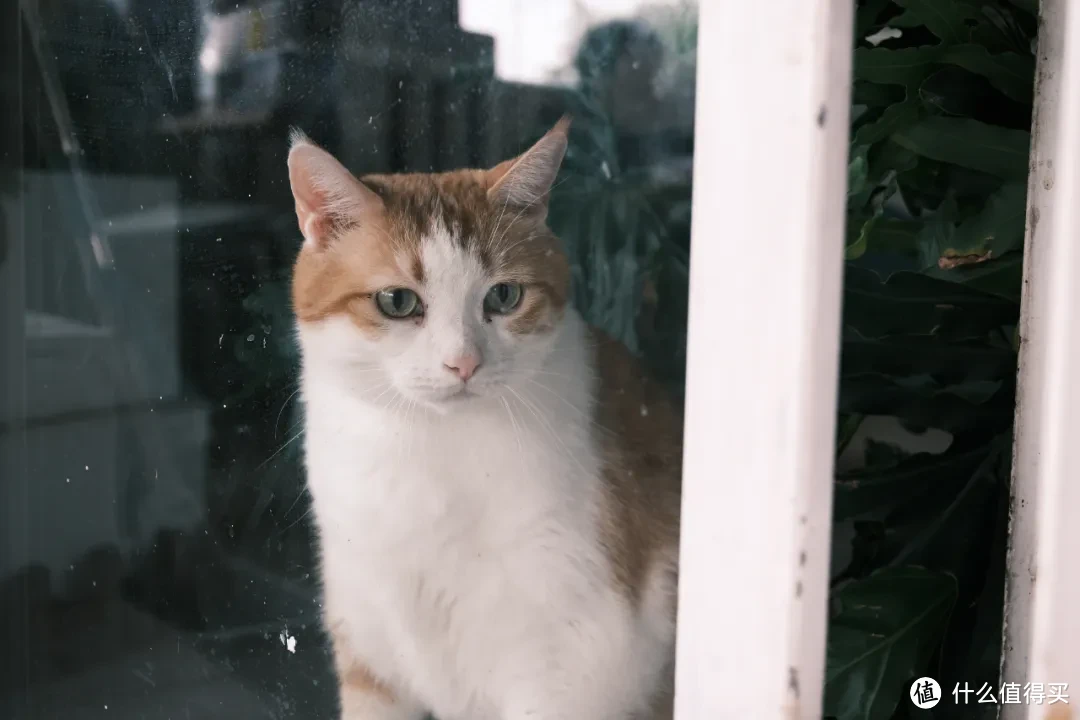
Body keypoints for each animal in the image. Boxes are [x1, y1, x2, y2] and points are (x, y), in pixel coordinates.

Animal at [282, 118, 678, 720]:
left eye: (505, 296)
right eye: (397, 302)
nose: (463, 362)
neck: (426, 450)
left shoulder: (568, 662)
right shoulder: (370, 646)